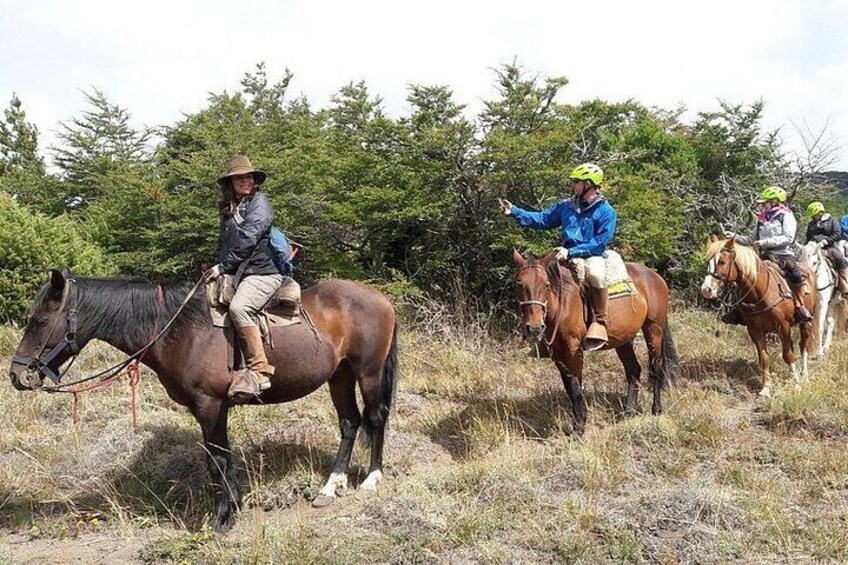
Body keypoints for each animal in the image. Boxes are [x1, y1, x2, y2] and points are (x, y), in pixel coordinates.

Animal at [7, 268, 398, 528]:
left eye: (39, 321)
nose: (16, 374)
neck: (179, 329)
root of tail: (380, 298)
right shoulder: (214, 408)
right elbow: (221, 456)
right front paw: (234, 505)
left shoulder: (210, 405)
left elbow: (216, 460)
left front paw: (222, 516)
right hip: (340, 376)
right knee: (349, 423)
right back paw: (331, 487)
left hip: (368, 372)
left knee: (375, 418)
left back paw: (371, 479)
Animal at [512, 249, 680, 434]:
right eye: (519, 284)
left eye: (547, 285)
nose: (534, 328)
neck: (563, 303)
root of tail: (655, 276)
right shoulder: (558, 354)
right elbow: (570, 387)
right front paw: (580, 422)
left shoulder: (574, 351)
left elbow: (576, 389)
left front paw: (579, 427)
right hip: (623, 340)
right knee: (633, 370)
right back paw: (629, 411)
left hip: (653, 330)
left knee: (656, 369)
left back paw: (656, 409)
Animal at [700, 236, 820, 394]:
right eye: (708, 261)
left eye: (722, 261)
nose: (706, 290)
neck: (759, 292)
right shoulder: (755, 330)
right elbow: (764, 358)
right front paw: (766, 388)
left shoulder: (784, 327)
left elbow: (788, 356)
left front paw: (797, 383)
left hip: (806, 322)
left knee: (803, 346)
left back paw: (804, 376)